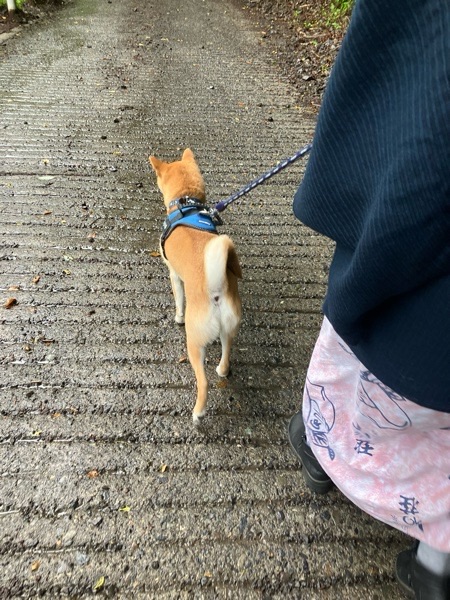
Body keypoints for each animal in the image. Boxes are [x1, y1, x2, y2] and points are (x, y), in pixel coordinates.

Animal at [149, 148, 242, 422]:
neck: (186, 205)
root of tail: (216, 291)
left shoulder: (174, 275)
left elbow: (179, 300)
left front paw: (177, 317)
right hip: (228, 330)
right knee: (225, 357)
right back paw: (222, 369)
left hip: (194, 344)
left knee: (204, 383)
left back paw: (198, 412)